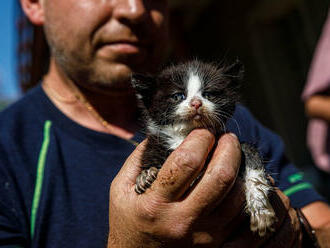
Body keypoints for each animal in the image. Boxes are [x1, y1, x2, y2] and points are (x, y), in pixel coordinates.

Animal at [131, 59, 276, 236]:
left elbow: (251, 155)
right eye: (178, 96)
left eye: (208, 94)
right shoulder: (154, 146)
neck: (185, 135)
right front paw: (145, 176)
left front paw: (261, 209)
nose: (196, 103)